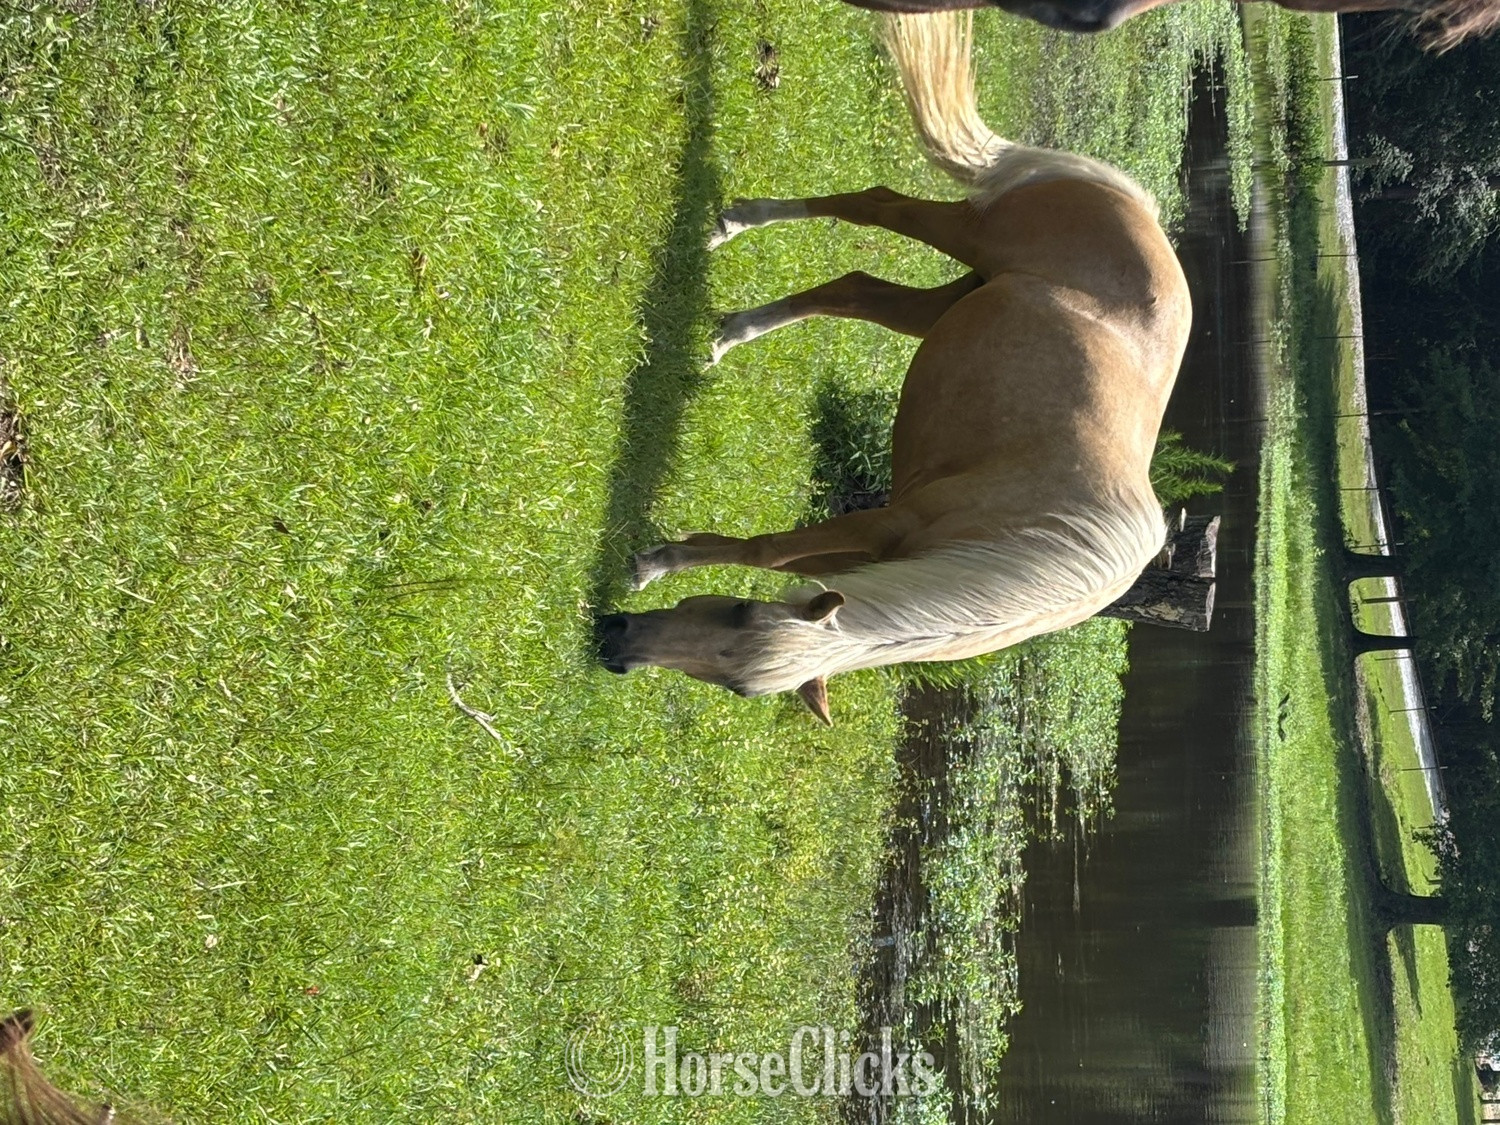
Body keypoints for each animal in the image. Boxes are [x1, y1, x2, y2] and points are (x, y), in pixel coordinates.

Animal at [596, 12, 1192, 725]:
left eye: (738, 677)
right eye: (734, 612)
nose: (614, 643)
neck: (1034, 545)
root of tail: (1131, 203)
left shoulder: (868, 544)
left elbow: (774, 557)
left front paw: (665, 557)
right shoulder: (886, 523)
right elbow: (768, 550)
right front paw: (657, 562)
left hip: (951, 300)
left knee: (852, 291)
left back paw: (729, 332)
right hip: (963, 234)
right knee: (876, 207)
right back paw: (738, 221)